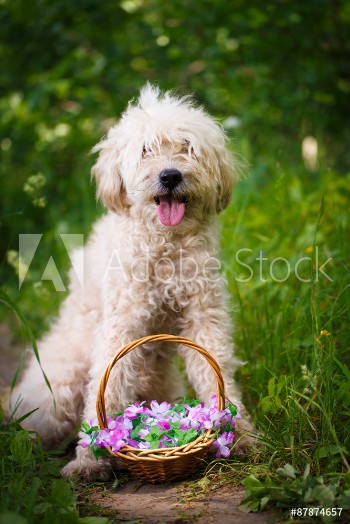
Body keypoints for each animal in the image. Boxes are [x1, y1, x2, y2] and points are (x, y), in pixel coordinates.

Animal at [10, 85, 254, 478]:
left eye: (187, 147)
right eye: (146, 150)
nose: (170, 176)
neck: (165, 245)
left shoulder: (204, 320)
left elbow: (217, 376)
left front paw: (239, 434)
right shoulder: (121, 326)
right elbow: (106, 388)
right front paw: (90, 458)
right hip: (59, 386)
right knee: (37, 423)